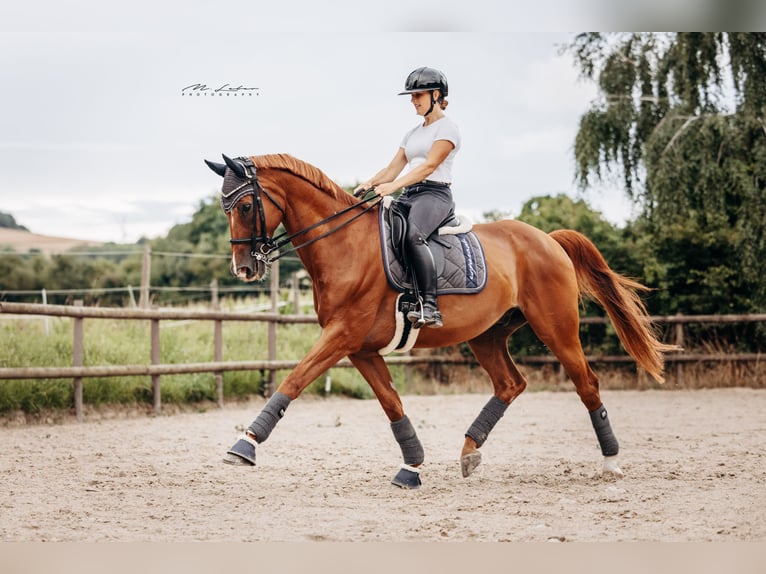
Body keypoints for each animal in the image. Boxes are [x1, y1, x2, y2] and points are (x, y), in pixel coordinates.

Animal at [205, 153, 677, 489]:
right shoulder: (360, 348)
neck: (345, 245)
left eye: (243, 205)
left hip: (556, 329)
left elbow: (294, 379)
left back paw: (611, 463)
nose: (243, 269)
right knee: (510, 384)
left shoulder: (341, 336)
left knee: (587, 384)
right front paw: (411, 468)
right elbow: (392, 404)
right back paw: (469, 452)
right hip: (488, 335)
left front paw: (244, 445)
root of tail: (548, 239)